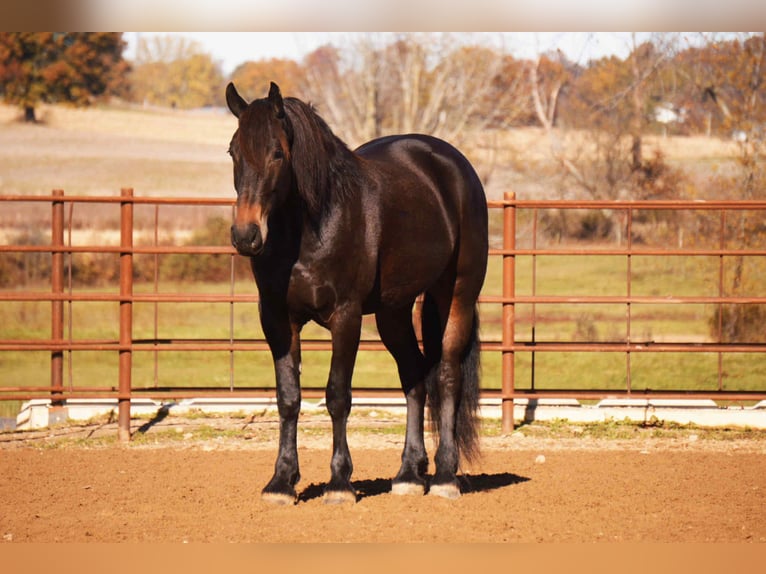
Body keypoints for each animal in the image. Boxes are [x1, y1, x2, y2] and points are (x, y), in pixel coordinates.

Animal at [226, 81, 488, 504]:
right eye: (233, 151)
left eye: (277, 152)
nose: (246, 235)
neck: (312, 228)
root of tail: (453, 165)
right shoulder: (279, 320)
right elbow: (288, 397)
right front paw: (281, 481)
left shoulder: (345, 316)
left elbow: (337, 396)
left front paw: (339, 482)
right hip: (393, 312)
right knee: (414, 376)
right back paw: (408, 475)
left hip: (457, 296)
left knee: (448, 376)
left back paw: (446, 476)